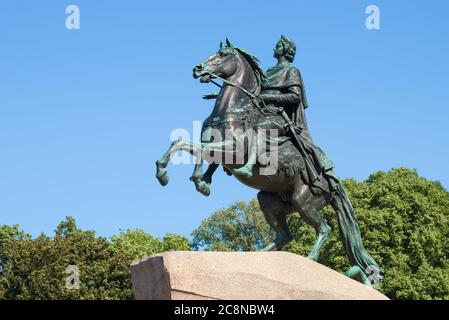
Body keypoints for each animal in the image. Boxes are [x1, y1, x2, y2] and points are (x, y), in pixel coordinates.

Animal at [155, 39, 382, 284]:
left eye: (223, 54)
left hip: (304, 201)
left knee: (324, 228)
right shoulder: (213, 145)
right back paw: (261, 255)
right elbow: (189, 147)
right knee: (284, 235)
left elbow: (191, 148)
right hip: (269, 200)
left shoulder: (233, 150)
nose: (197, 69)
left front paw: (175, 177)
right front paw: (190, 179)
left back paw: (310, 258)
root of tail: (333, 182)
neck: (235, 110)